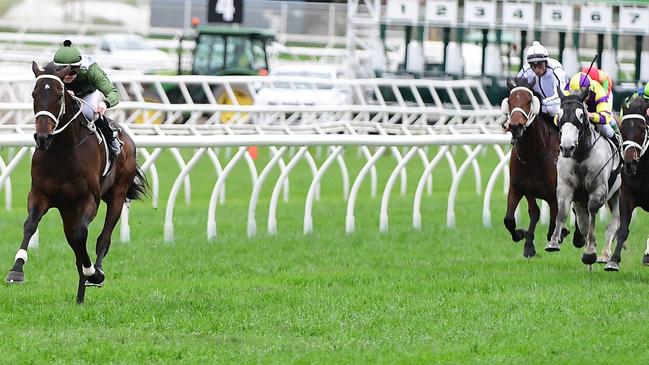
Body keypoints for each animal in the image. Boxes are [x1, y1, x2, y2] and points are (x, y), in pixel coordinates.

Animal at [4, 61, 146, 302]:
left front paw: (93, 273)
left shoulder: (88, 200)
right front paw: (16, 270)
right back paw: (80, 294)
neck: (62, 151)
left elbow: (82, 234)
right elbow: (30, 225)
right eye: (33, 94)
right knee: (75, 243)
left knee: (102, 238)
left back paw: (95, 274)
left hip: (117, 196)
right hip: (67, 210)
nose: (42, 137)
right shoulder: (39, 195)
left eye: (59, 95)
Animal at [502, 77, 572, 256]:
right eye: (509, 101)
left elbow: (554, 221)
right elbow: (511, 219)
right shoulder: (521, 187)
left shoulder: (554, 194)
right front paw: (524, 238)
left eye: (529, 101)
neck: (533, 155)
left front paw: (559, 235)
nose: (515, 126)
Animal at [544, 92, 620, 266]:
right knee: (583, 221)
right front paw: (553, 242)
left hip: (617, 194)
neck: (580, 156)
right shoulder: (565, 187)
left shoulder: (599, 190)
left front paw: (590, 252)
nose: (566, 147)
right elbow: (562, 211)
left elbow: (593, 212)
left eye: (581, 115)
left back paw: (605, 255)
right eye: (559, 115)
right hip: (579, 204)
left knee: (613, 224)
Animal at [604, 96, 648, 270]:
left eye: (642, 129)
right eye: (622, 129)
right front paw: (613, 260)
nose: (629, 163)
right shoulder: (626, 195)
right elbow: (623, 229)